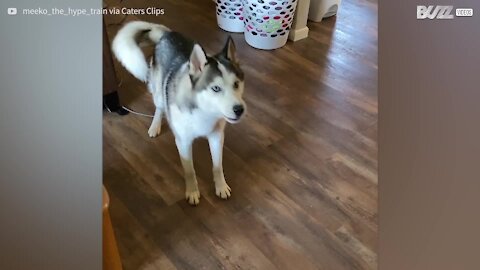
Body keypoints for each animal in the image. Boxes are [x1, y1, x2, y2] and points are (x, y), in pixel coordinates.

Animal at [112, 21, 246, 205]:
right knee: (159, 107)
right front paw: (192, 191)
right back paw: (155, 126)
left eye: (236, 84)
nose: (239, 110)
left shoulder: (217, 137)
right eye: (216, 88)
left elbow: (217, 166)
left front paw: (221, 187)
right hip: (159, 94)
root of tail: (166, 34)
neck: (203, 111)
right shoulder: (183, 142)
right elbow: (189, 169)